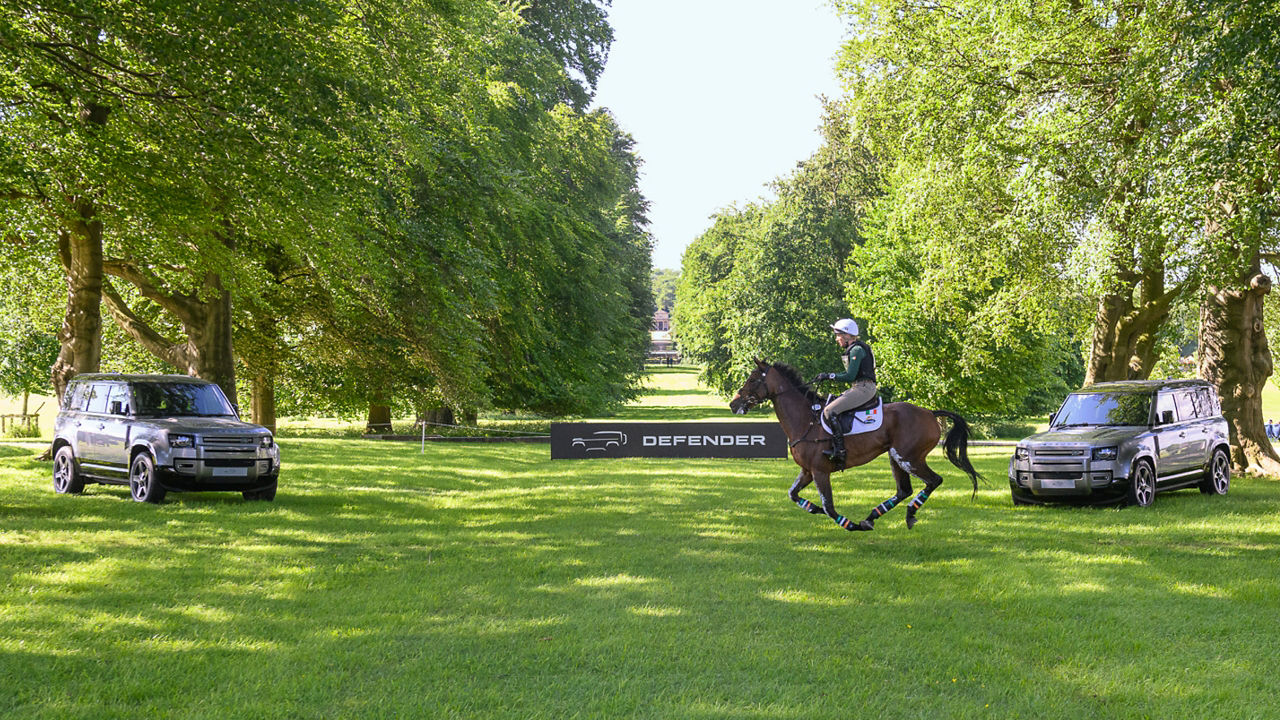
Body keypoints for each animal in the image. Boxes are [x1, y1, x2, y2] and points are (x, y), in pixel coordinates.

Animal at [732, 356, 977, 530]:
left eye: (752, 380)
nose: (733, 404)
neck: (805, 420)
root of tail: (929, 412)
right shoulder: (807, 471)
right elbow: (794, 495)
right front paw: (815, 510)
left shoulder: (820, 471)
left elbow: (829, 507)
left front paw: (851, 525)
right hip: (895, 457)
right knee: (904, 490)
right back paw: (872, 517)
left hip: (910, 458)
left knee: (934, 480)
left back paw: (907, 514)